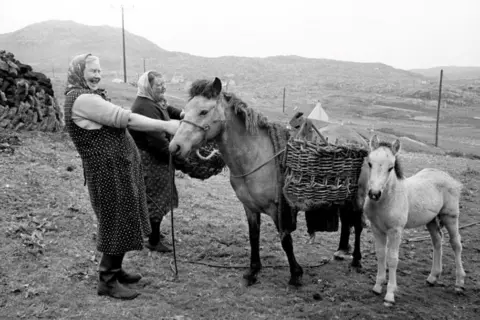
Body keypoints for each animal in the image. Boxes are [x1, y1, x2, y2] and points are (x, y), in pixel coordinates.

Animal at [364, 135, 464, 308]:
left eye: (391, 167)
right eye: (370, 163)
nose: (374, 194)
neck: (386, 200)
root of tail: (448, 177)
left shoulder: (396, 230)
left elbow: (392, 259)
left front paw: (389, 295)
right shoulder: (376, 229)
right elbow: (381, 254)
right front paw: (377, 286)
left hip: (450, 216)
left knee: (456, 244)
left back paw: (459, 284)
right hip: (431, 221)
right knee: (437, 241)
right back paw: (432, 277)